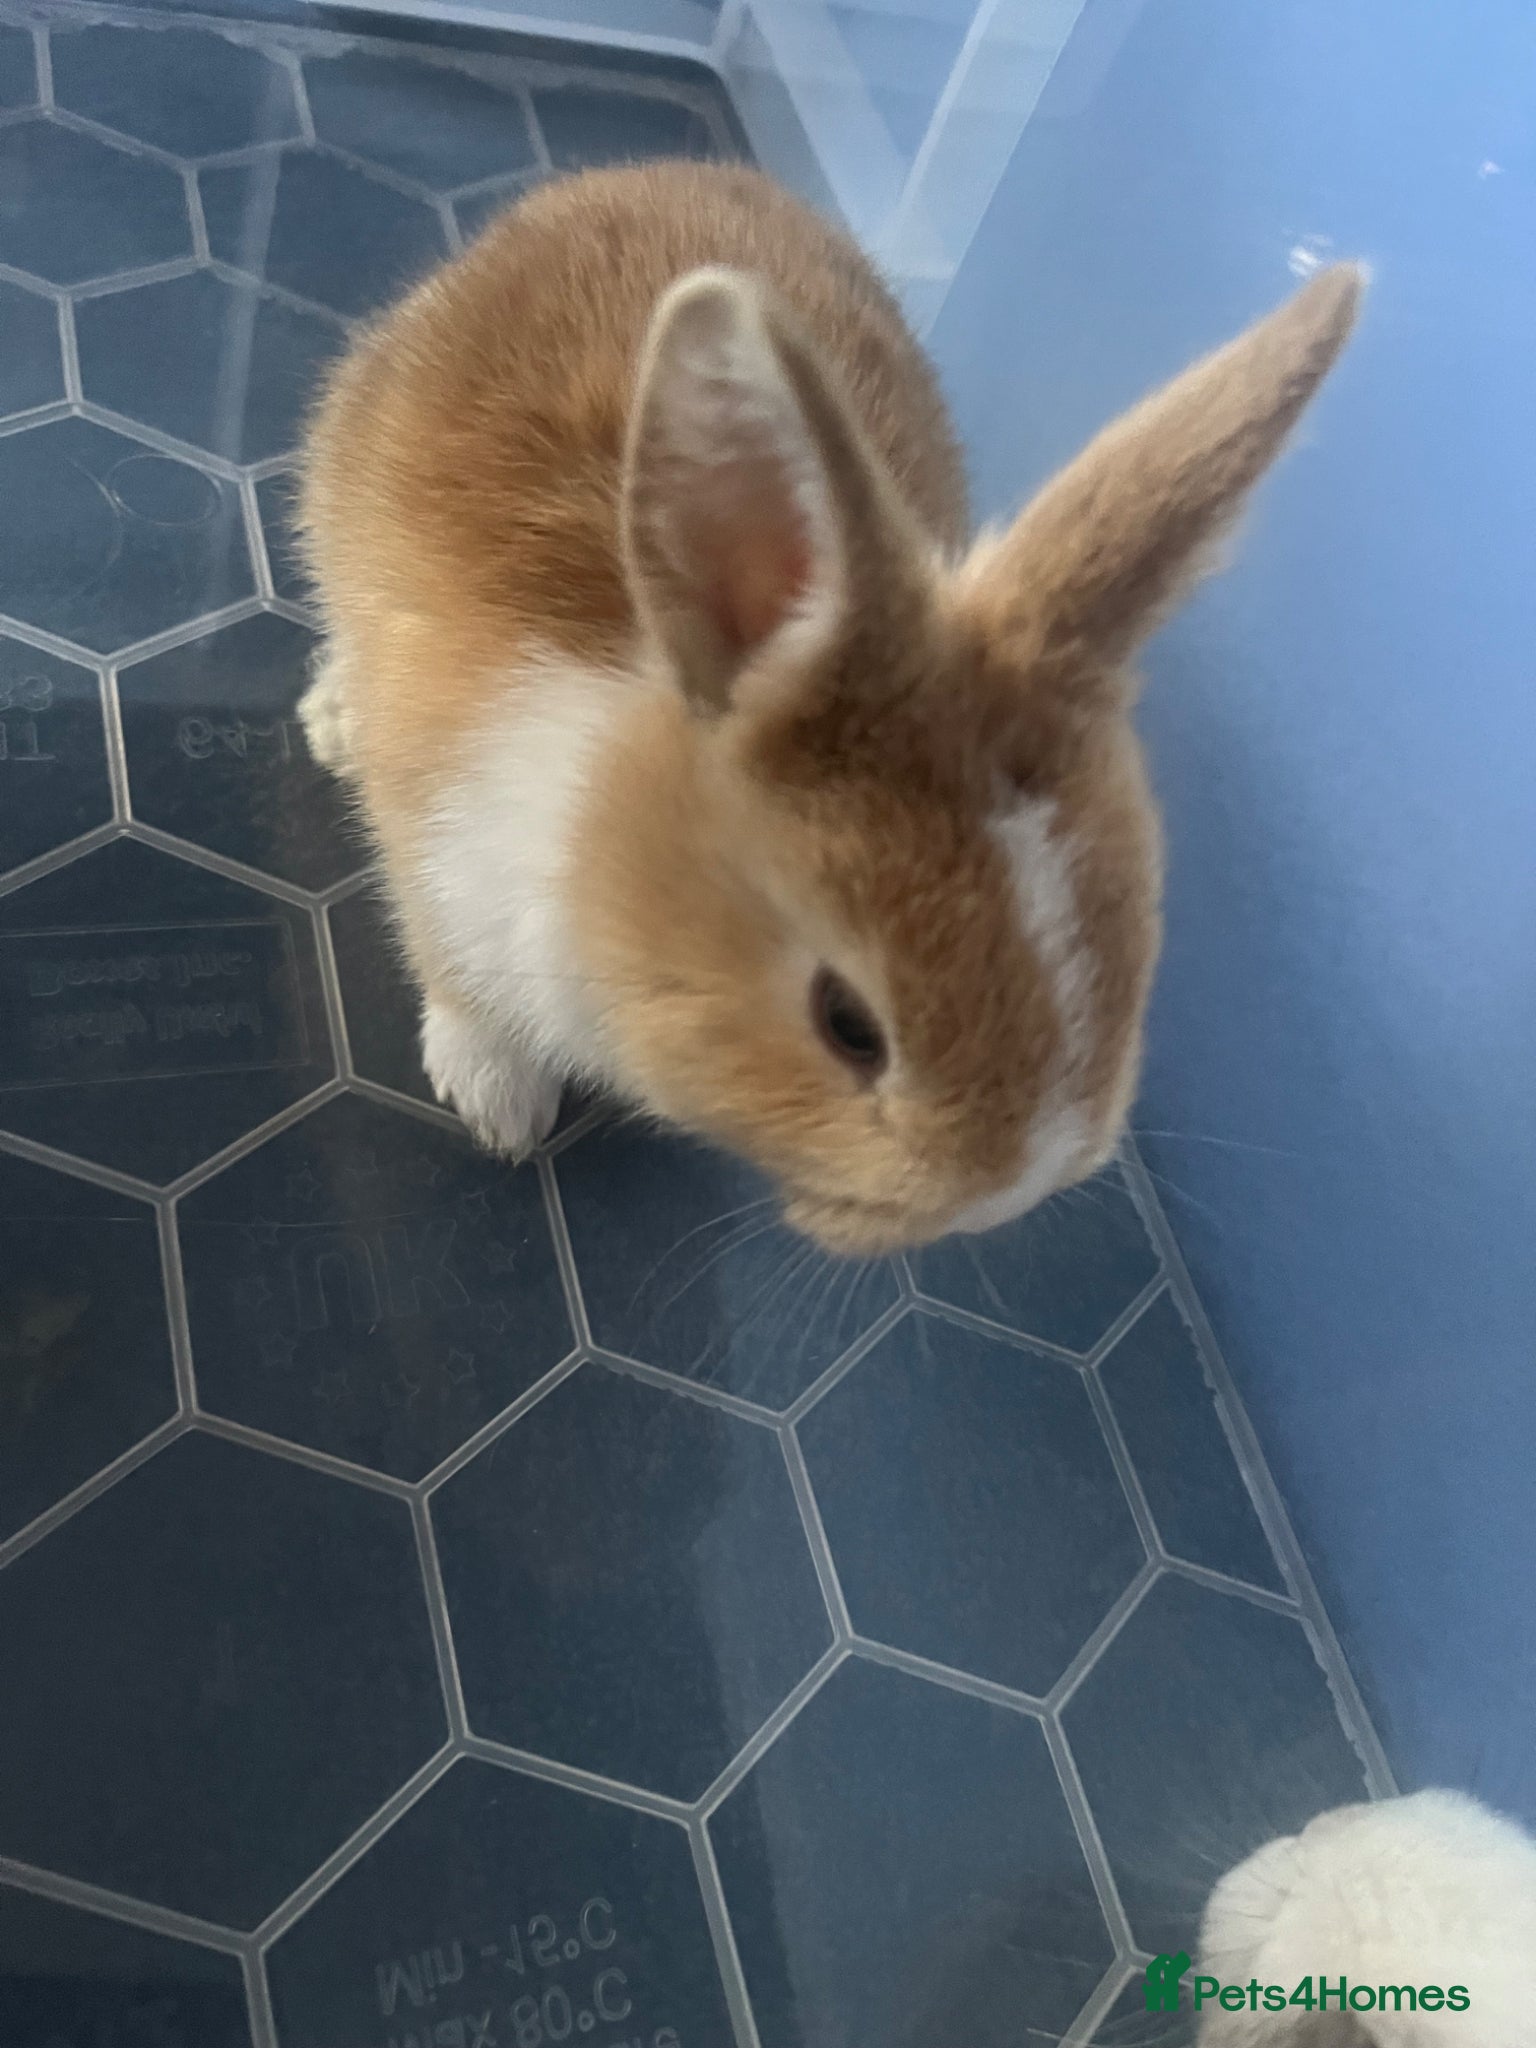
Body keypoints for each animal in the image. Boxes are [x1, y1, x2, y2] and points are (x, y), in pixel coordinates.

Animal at [297, 160, 1362, 1255]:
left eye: (1134, 953)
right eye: (848, 1023)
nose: (1000, 1199)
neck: (597, 841)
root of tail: (652, 170)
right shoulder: (438, 859)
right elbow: (455, 978)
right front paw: (499, 1106)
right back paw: (332, 722)